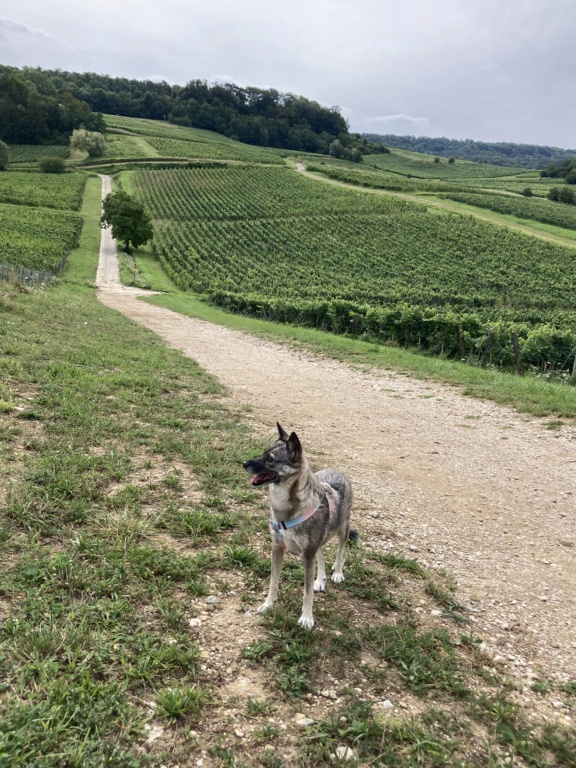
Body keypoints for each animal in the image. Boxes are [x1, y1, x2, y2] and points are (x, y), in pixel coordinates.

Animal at [242, 424, 356, 628]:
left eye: (270, 459)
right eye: (263, 453)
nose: (243, 463)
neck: (287, 509)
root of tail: (337, 470)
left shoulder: (308, 556)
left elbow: (307, 592)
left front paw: (306, 618)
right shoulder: (277, 548)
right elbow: (273, 582)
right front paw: (268, 604)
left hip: (343, 528)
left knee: (340, 550)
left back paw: (337, 573)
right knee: (321, 555)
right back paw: (320, 580)